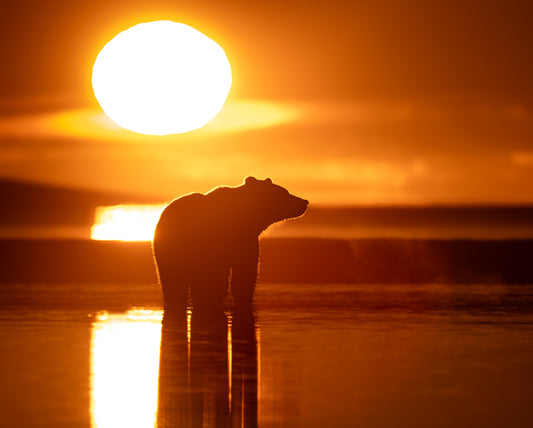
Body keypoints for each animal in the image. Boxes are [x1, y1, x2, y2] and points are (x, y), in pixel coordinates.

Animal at [152, 177, 308, 314]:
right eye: (285, 192)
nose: (304, 201)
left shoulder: (246, 243)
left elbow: (245, 274)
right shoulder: (217, 243)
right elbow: (216, 278)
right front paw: (210, 300)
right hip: (170, 250)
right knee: (174, 281)